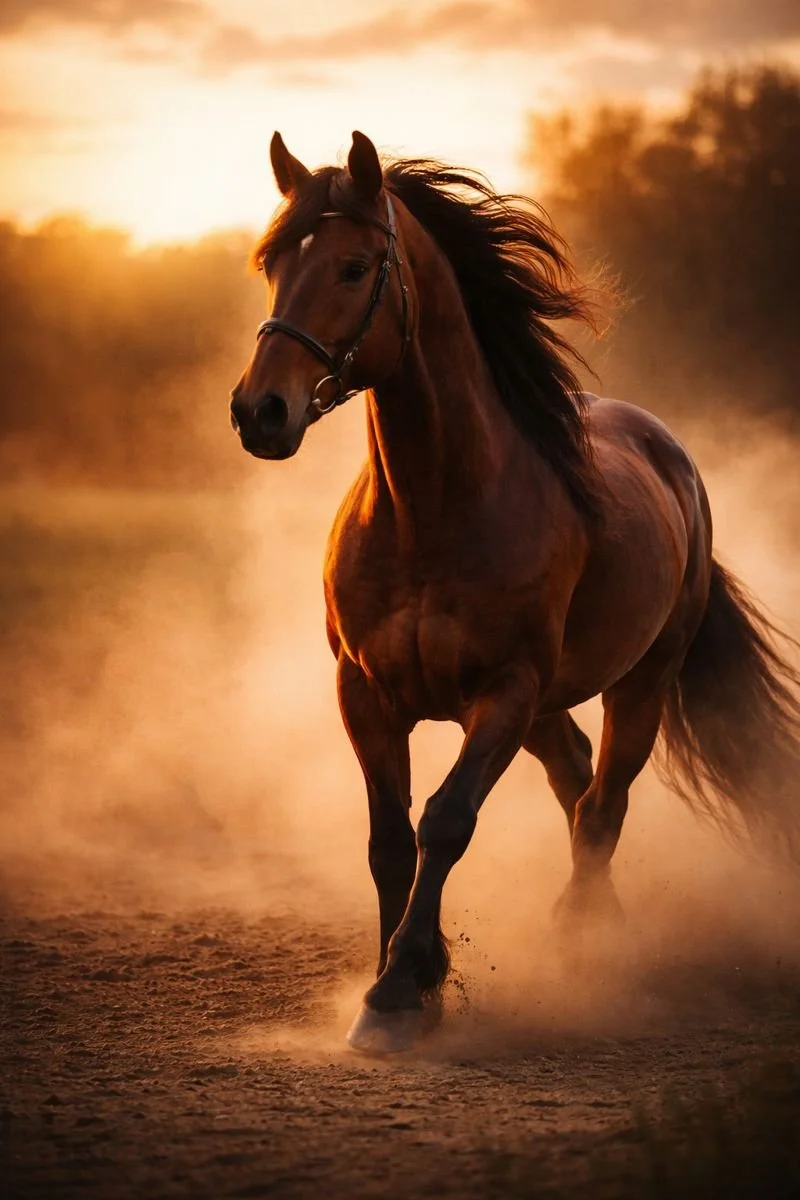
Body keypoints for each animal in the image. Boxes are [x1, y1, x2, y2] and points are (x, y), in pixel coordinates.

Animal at [229, 130, 800, 1054]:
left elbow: (446, 822)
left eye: (353, 267)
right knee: (575, 781)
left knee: (603, 805)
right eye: (274, 263)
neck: (432, 511)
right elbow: (388, 840)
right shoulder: (366, 695)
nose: (260, 412)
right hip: (547, 710)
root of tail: (674, 461)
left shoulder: (503, 693)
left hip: (636, 687)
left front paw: (399, 991)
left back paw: (584, 947)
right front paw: (406, 977)